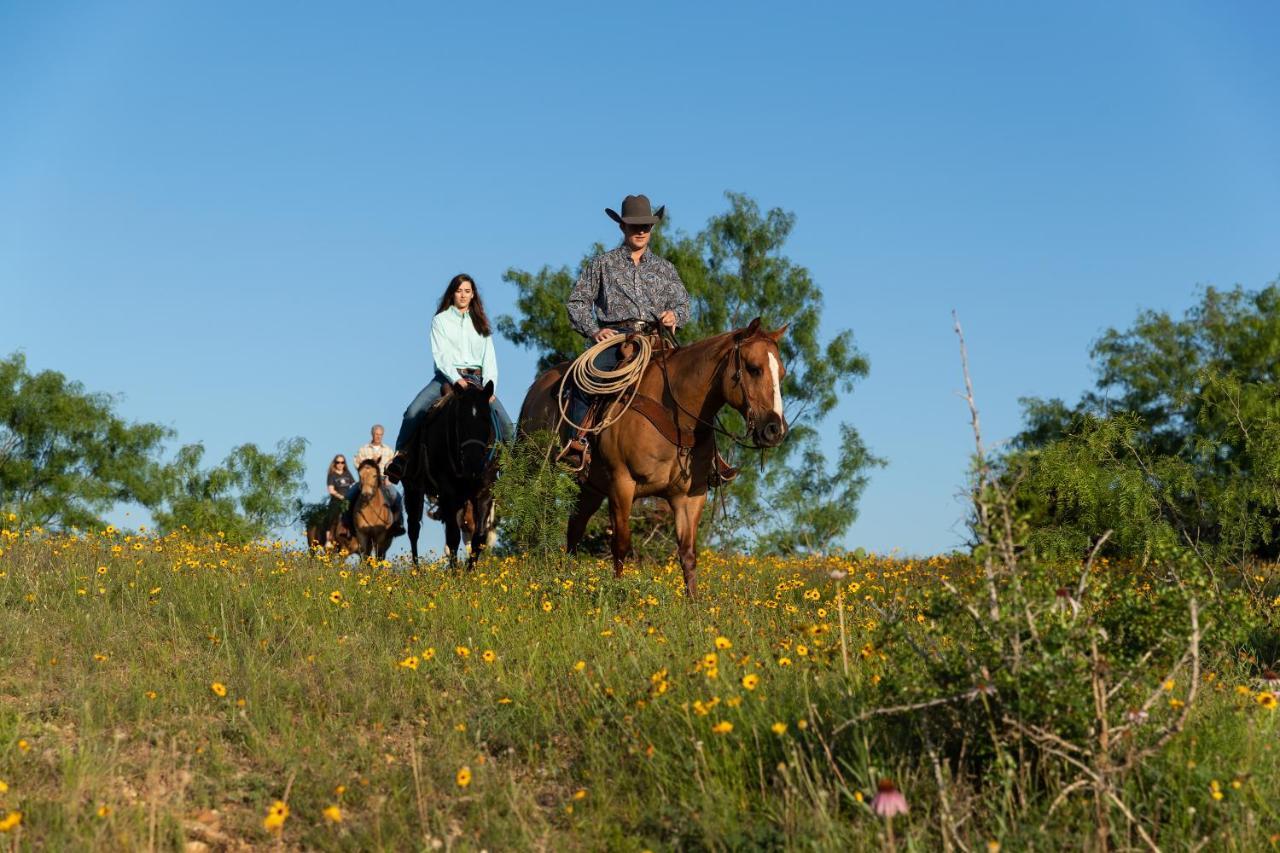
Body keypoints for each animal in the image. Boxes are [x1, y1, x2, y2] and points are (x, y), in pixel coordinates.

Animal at [401, 379, 496, 563]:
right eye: (460, 420)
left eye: (486, 418)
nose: (473, 462)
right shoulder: (449, 492)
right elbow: (453, 538)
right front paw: (455, 570)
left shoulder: (484, 492)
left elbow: (479, 537)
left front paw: (470, 569)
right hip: (413, 488)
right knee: (413, 529)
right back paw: (417, 568)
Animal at [522, 315, 788, 594]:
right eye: (753, 368)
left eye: (782, 373)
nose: (775, 430)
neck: (675, 414)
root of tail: (538, 386)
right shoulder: (621, 483)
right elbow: (621, 545)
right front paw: (619, 592)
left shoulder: (690, 497)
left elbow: (688, 554)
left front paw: (694, 602)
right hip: (537, 468)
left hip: (590, 488)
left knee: (574, 527)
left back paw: (569, 579)